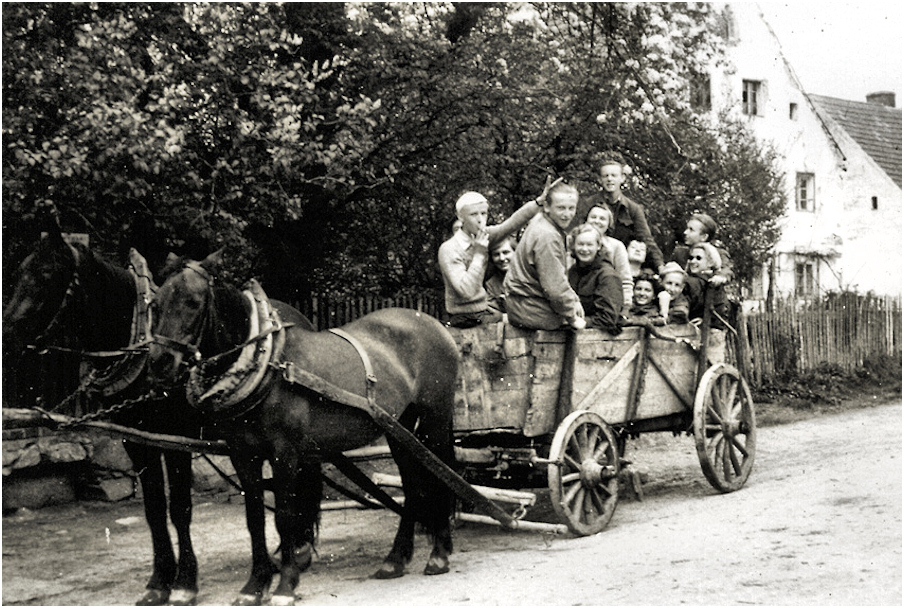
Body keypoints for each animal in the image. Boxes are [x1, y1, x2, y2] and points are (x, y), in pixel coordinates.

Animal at [2, 229, 204, 608]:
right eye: (19, 271)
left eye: (47, 275)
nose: (7, 336)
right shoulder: (135, 440)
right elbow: (154, 509)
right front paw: (158, 581)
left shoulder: (177, 439)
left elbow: (180, 506)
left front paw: (185, 581)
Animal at [147, 251, 460, 604]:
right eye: (155, 304)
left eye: (193, 302)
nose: (159, 363)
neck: (267, 363)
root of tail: (432, 321)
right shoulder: (243, 454)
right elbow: (255, 517)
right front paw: (254, 585)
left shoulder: (285, 453)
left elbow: (285, 515)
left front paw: (286, 584)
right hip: (398, 427)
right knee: (412, 485)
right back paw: (395, 559)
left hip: (434, 419)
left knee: (443, 474)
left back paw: (439, 554)